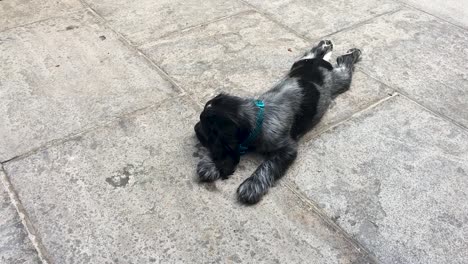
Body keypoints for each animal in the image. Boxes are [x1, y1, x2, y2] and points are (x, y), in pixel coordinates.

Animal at [192, 39, 360, 204]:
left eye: (205, 128)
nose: (194, 128)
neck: (258, 115)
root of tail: (321, 64)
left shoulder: (287, 149)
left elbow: (268, 165)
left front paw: (252, 185)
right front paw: (209, 165)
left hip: (340, 80)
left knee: (345, 66)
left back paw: (352, 53)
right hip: (298, 63)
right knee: (311, 53)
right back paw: (324, 45)